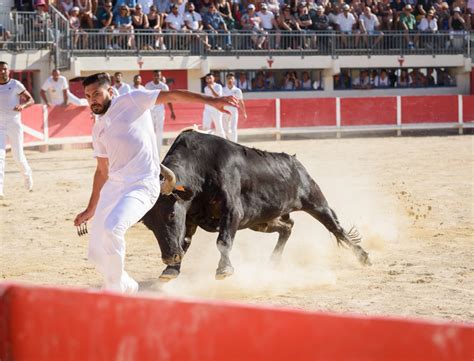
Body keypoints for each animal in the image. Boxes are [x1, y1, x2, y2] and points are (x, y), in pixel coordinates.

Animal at [141, 130, 370, 282]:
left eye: (171, 215)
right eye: (149, 225)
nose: (169, 256)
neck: (201, 168)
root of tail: (295, 162)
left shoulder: (232, 211)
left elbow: (223, 241)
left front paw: (224, 270)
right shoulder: (190, 218)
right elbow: (185, 242)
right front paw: (171, 270)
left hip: (316, 203)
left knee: (335, 227)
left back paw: (363, 257)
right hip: (260, 221)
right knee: (287, 227)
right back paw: (273, 262)